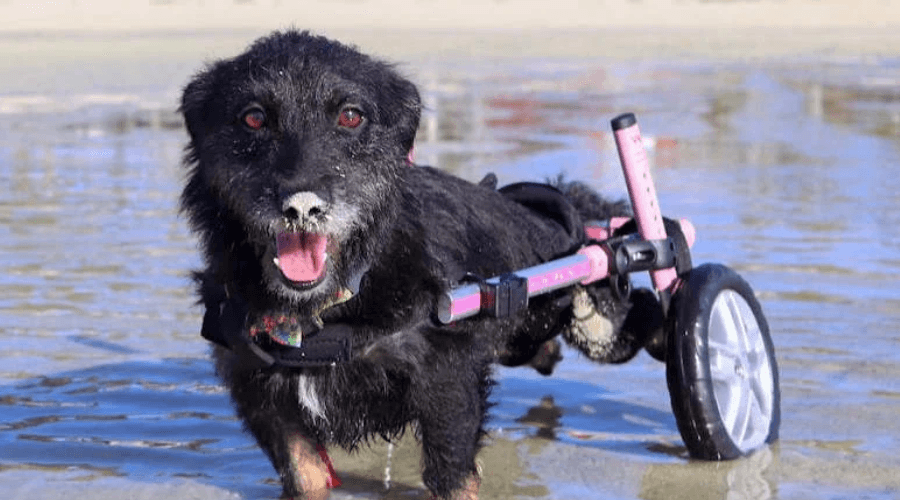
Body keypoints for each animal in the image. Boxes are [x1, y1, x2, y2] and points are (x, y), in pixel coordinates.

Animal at [179, 31, 652, 500]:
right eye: (254, 118)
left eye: (350, 116)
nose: (302, 206)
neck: (334, 301)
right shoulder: (260, 392)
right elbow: (305, 474)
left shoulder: (446, 379)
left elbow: (451, 476)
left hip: (603, 320)